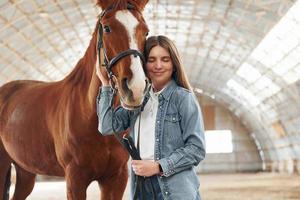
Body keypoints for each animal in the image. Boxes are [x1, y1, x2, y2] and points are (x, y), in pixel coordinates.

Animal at [0, 0, 149, 199]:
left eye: (146, 31)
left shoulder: (116, 178)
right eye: (107, 28)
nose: (135, 88)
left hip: (25, 171)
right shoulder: (75, 179)